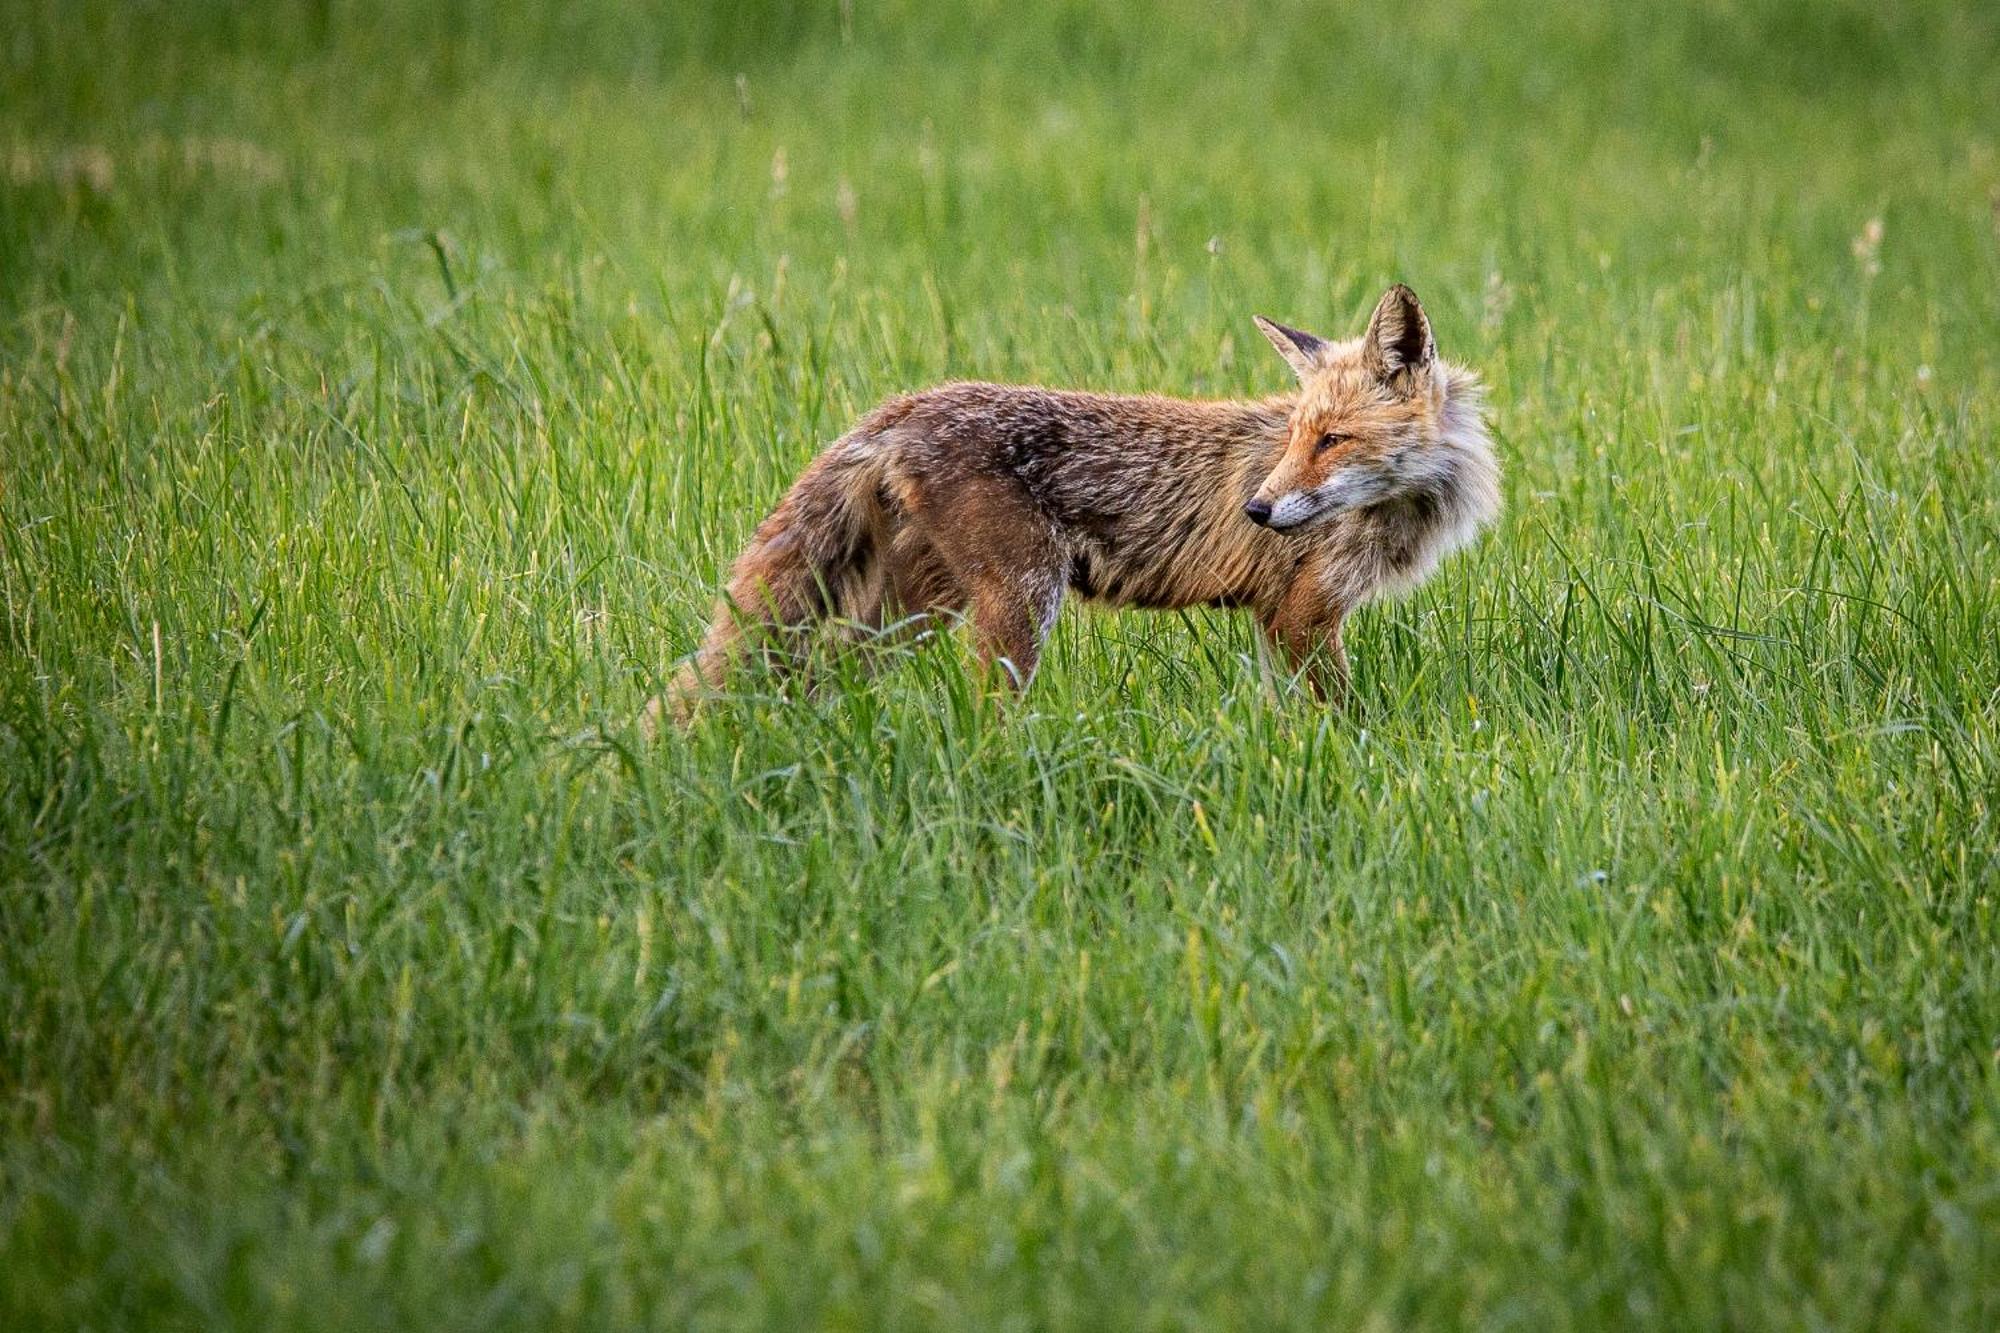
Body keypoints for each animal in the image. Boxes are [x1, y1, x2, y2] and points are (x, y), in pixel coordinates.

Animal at [656, 278, 1504, 716]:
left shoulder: (1276, 617)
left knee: (810, 675)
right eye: (1300, 436)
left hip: (908, 614)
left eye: (1330, 440)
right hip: (1021, 599)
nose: (1257, 512)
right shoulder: (1303, 613)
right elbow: (1344, 720)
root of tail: (906, 404)